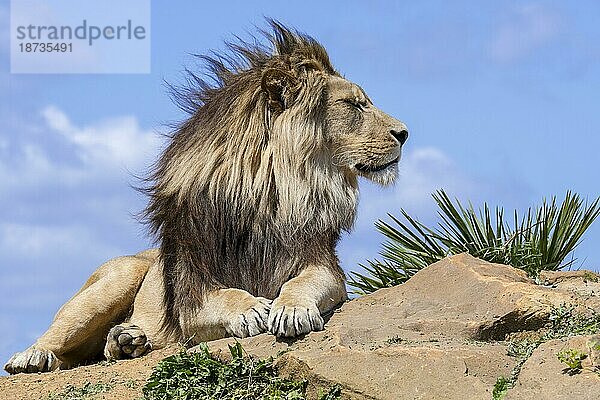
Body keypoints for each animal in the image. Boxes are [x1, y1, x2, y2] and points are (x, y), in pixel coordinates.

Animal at [3, 20, 408, 374]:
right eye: (353, 105)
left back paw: (127, 340)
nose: (404, 133)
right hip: (119, 276)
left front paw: (291, 309)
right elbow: (223, 296)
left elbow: (301, 283)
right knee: (58, 342)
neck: (271, 193)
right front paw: (250, 310)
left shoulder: (322, 264)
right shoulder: (191, 295)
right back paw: (35, 356)